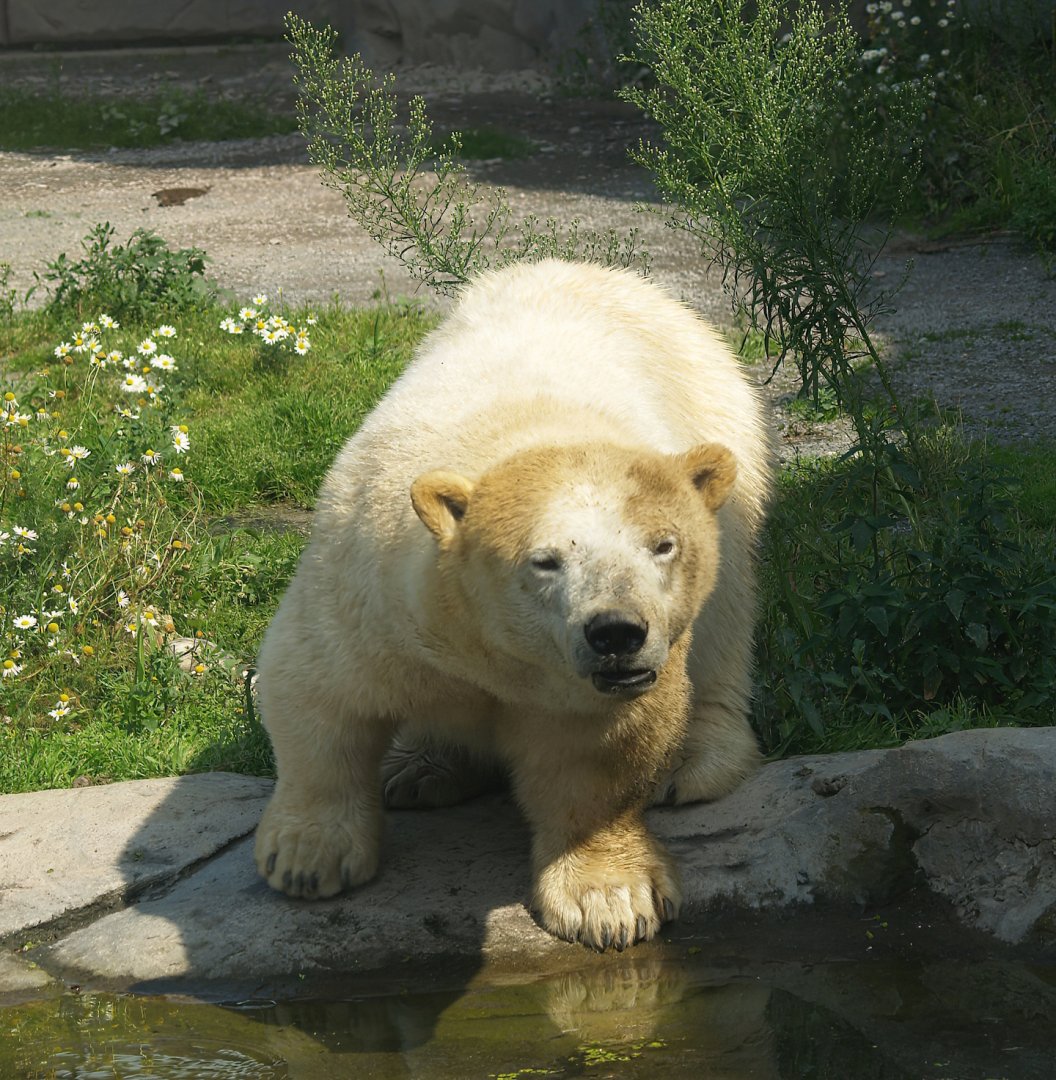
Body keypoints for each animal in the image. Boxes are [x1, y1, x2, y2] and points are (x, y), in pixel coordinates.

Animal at [253, 259, 771, 951]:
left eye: (663, 545)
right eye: (544, 560)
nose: (618, 633)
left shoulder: (600, 686)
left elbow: (596, 757)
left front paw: (608, 900)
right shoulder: (373, 594)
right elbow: (316, 689)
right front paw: (307, 858)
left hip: (724, 435)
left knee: (725, 619)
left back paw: (690, 763)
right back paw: (417, 768)